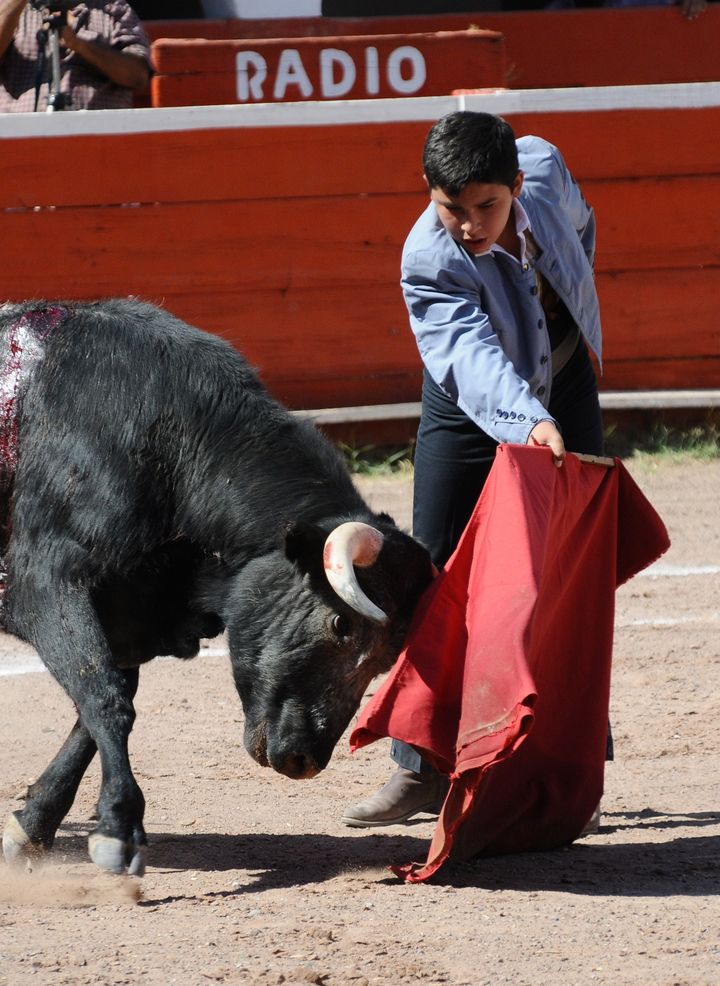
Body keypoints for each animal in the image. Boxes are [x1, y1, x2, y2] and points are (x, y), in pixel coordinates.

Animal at [0, 300, 434, 876]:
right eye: (341, 625)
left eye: (387, 660)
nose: (304, 760)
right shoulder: (46, 582)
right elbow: (105, 698)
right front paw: (117, 828)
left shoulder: (129, 613)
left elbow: (95, 713)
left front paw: (31, 826)